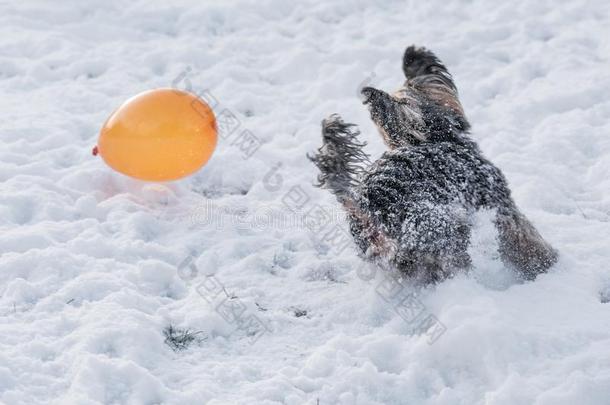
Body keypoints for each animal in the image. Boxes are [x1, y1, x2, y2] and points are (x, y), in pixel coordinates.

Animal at [308, 45, 556, 282]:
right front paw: (546, 264)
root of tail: (364, 206)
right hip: (442, 229)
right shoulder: (500, 207)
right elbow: (525, 239)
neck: (437, 138)